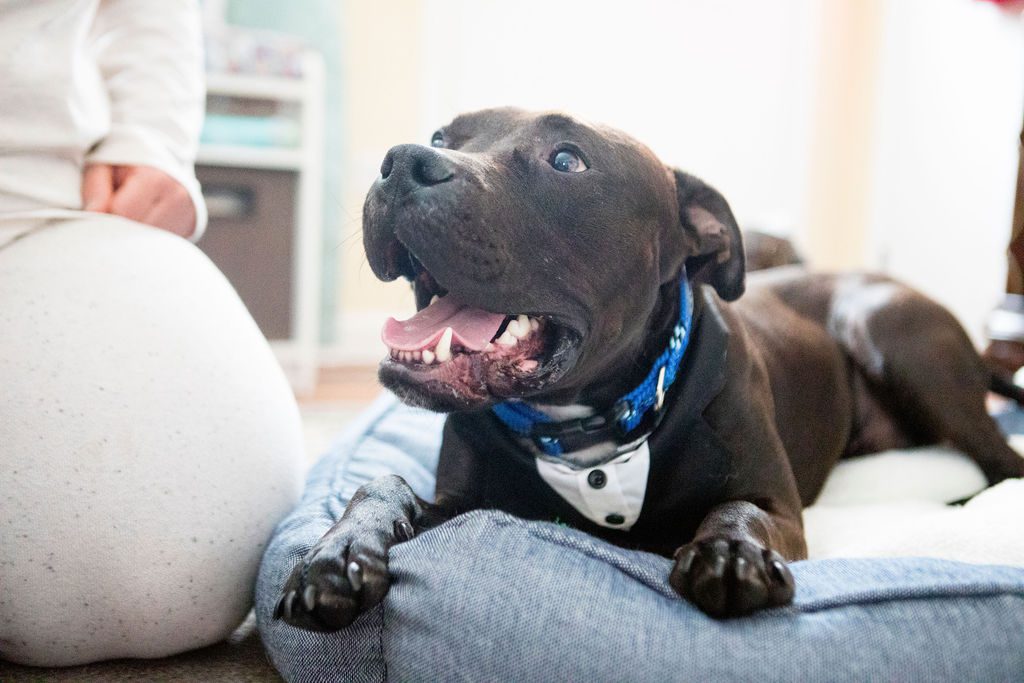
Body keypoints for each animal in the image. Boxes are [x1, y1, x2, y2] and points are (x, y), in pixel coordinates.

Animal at [274, 108, 1024, 630]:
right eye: (442, 132)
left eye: (566, 159)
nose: (402, 160)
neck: (588, 421)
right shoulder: (458, 501)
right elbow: (382, 482)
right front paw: (336, 552)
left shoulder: (779, 505)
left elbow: (739, 508)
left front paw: (731, 553)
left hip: (889, 332)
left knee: (1001, 458)